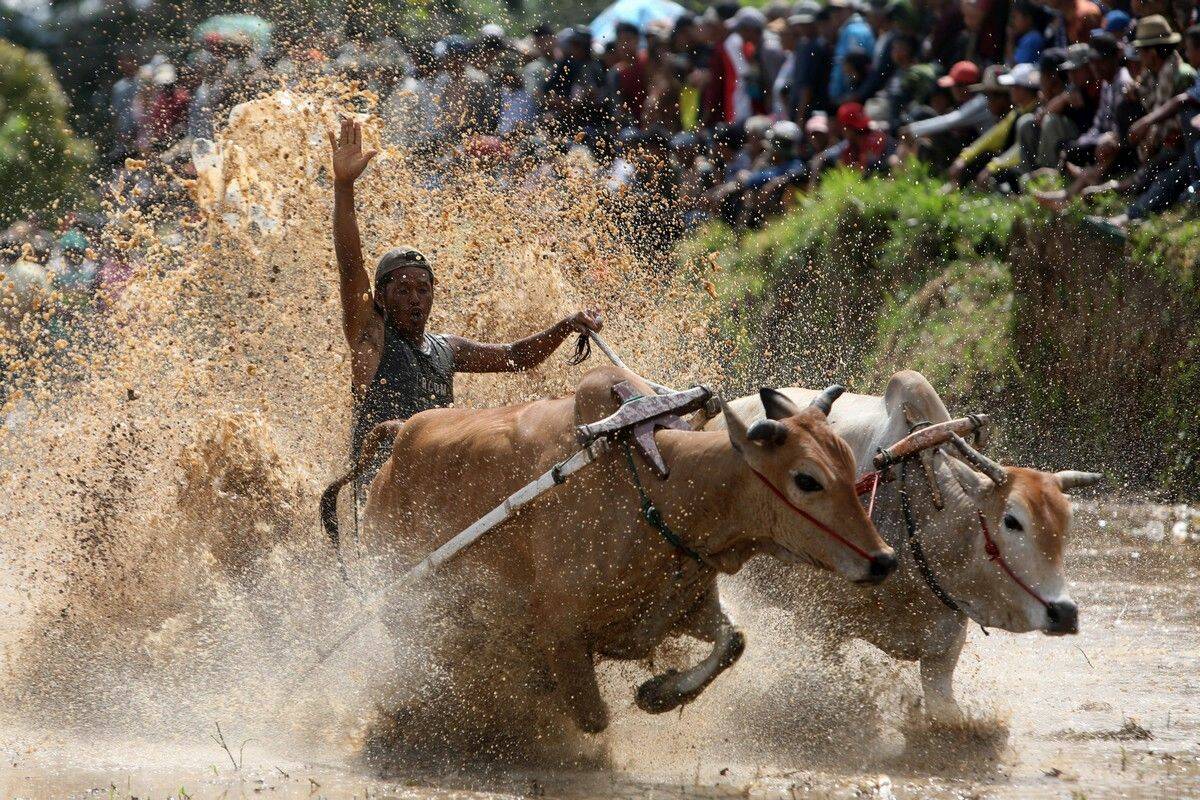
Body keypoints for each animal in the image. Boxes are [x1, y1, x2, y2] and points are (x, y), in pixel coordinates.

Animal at [348, 367, 892, 734]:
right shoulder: (561, 633)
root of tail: (393, 451)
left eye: (849, 462)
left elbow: (732, 642)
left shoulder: (681, 608)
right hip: (400, 600)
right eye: (806, 479)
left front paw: (658, 693)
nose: (884, 559)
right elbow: (594, 719)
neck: (657, 491)